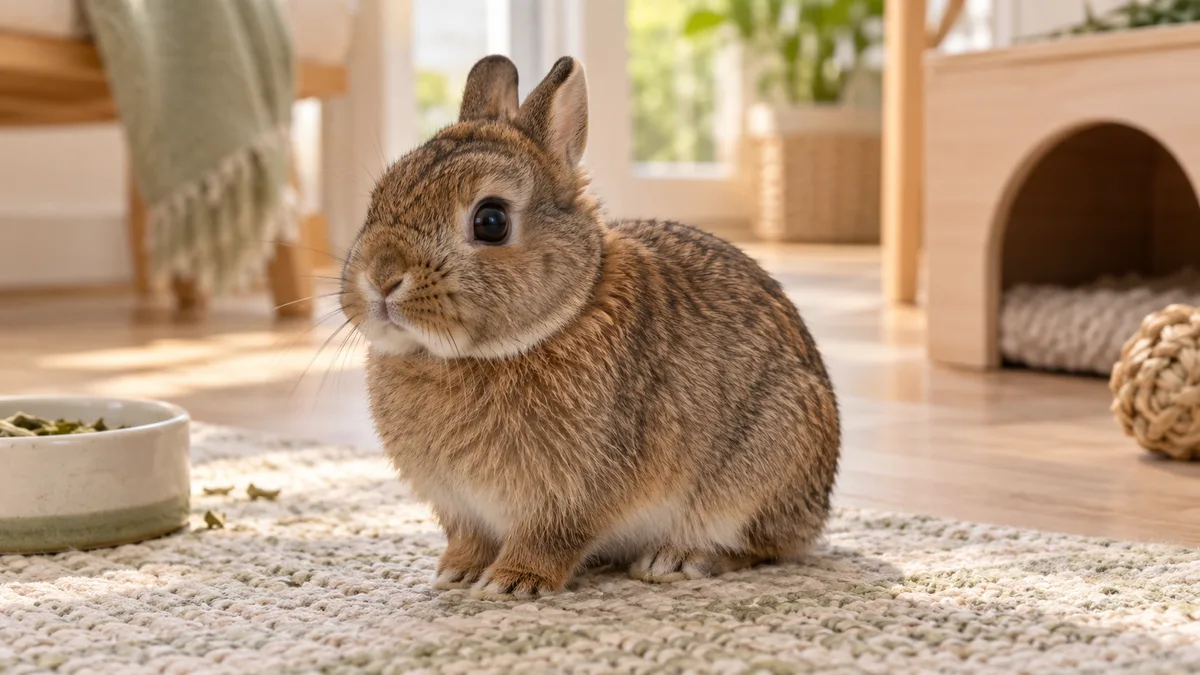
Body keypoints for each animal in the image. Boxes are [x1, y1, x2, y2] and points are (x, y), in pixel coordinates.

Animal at [340, 54, 841, 600]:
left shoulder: (571, 493)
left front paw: (513, 582)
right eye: (378, 197)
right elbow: (469, 539)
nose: (381, 277)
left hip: (759, 470)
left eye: (491, 221)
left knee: (759, 546)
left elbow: (550, 539)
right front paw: (457, 572)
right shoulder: (460, 506)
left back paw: (677, 559)